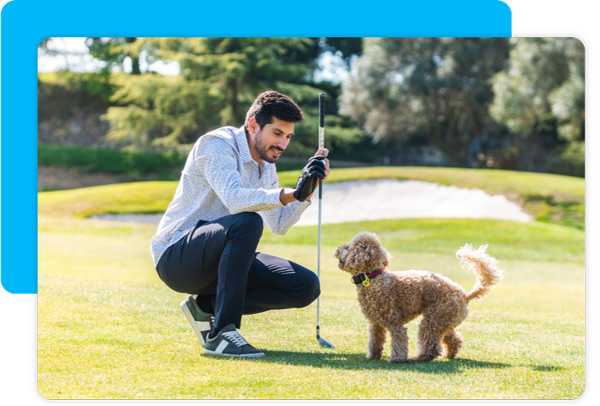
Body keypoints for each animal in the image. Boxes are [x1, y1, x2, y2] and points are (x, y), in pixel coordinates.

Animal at [336, 233, 504, 364]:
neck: (372, 278)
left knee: (431, 345)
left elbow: (399, 340)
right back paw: (449, 354)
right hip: (444, 320)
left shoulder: (394, 321)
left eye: (349, 247)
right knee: (454, 339)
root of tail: (465, 295)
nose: (337, 249)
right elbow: (375, 341)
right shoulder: (375, 323)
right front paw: (373, 356)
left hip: (433, 319)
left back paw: (418, 358)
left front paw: (397, 359)